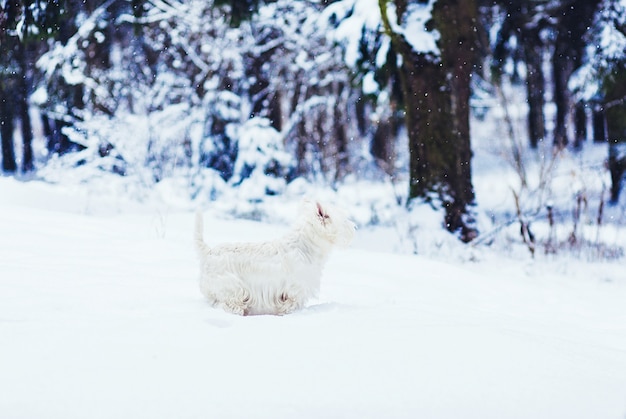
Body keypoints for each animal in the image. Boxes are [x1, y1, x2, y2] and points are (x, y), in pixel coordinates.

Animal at [193, 200, 354, 316]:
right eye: (343, 220)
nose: (354, 227)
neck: (305, 246)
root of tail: (208, 252)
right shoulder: (295, 291)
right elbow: (290, 306)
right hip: (231, 287)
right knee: (227, 304)